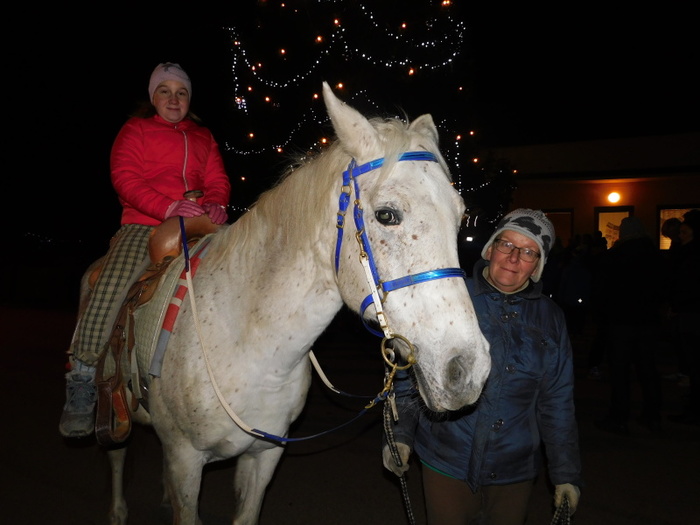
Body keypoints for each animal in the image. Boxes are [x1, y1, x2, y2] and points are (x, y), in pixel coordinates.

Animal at [97, 82, 491, 525]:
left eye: (460, 218)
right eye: (387, 215)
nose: (467, 370)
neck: (249, 346)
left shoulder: (265, 455)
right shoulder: (185, 460)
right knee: (116, 454)